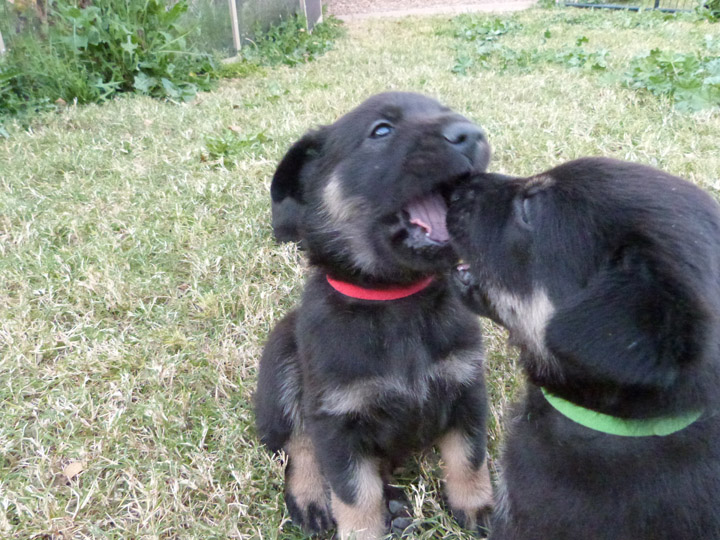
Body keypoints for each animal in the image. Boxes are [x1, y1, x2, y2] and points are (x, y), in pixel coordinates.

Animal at [255, 94, 496, 540]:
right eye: (381, 130)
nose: (471, 134)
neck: (396, 298)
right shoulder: (335, 422)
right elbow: (354, 495)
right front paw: (363, 527)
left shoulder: (467, 389)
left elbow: (469, 458)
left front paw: (478, 508)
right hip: (280, 365)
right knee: (298, 443)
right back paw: (311, 497)